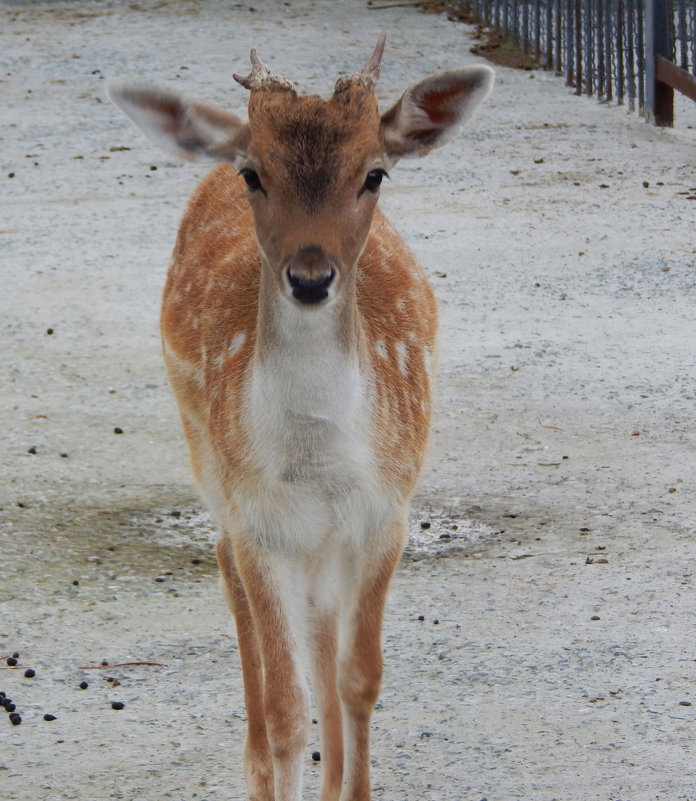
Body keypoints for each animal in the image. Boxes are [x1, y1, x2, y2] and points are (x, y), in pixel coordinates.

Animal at [107, 34, 490, 800]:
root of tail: (209, 157)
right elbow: (288, 710)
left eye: (375, 173)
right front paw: (276, 764)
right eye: (256, 174)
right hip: (204, 453)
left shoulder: (387, 511)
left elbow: (359, 678)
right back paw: (255, 763)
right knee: (227, 568)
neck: (316, 457)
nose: (311, 278)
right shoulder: (259, 519)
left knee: (319, 622)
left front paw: (351, 784)